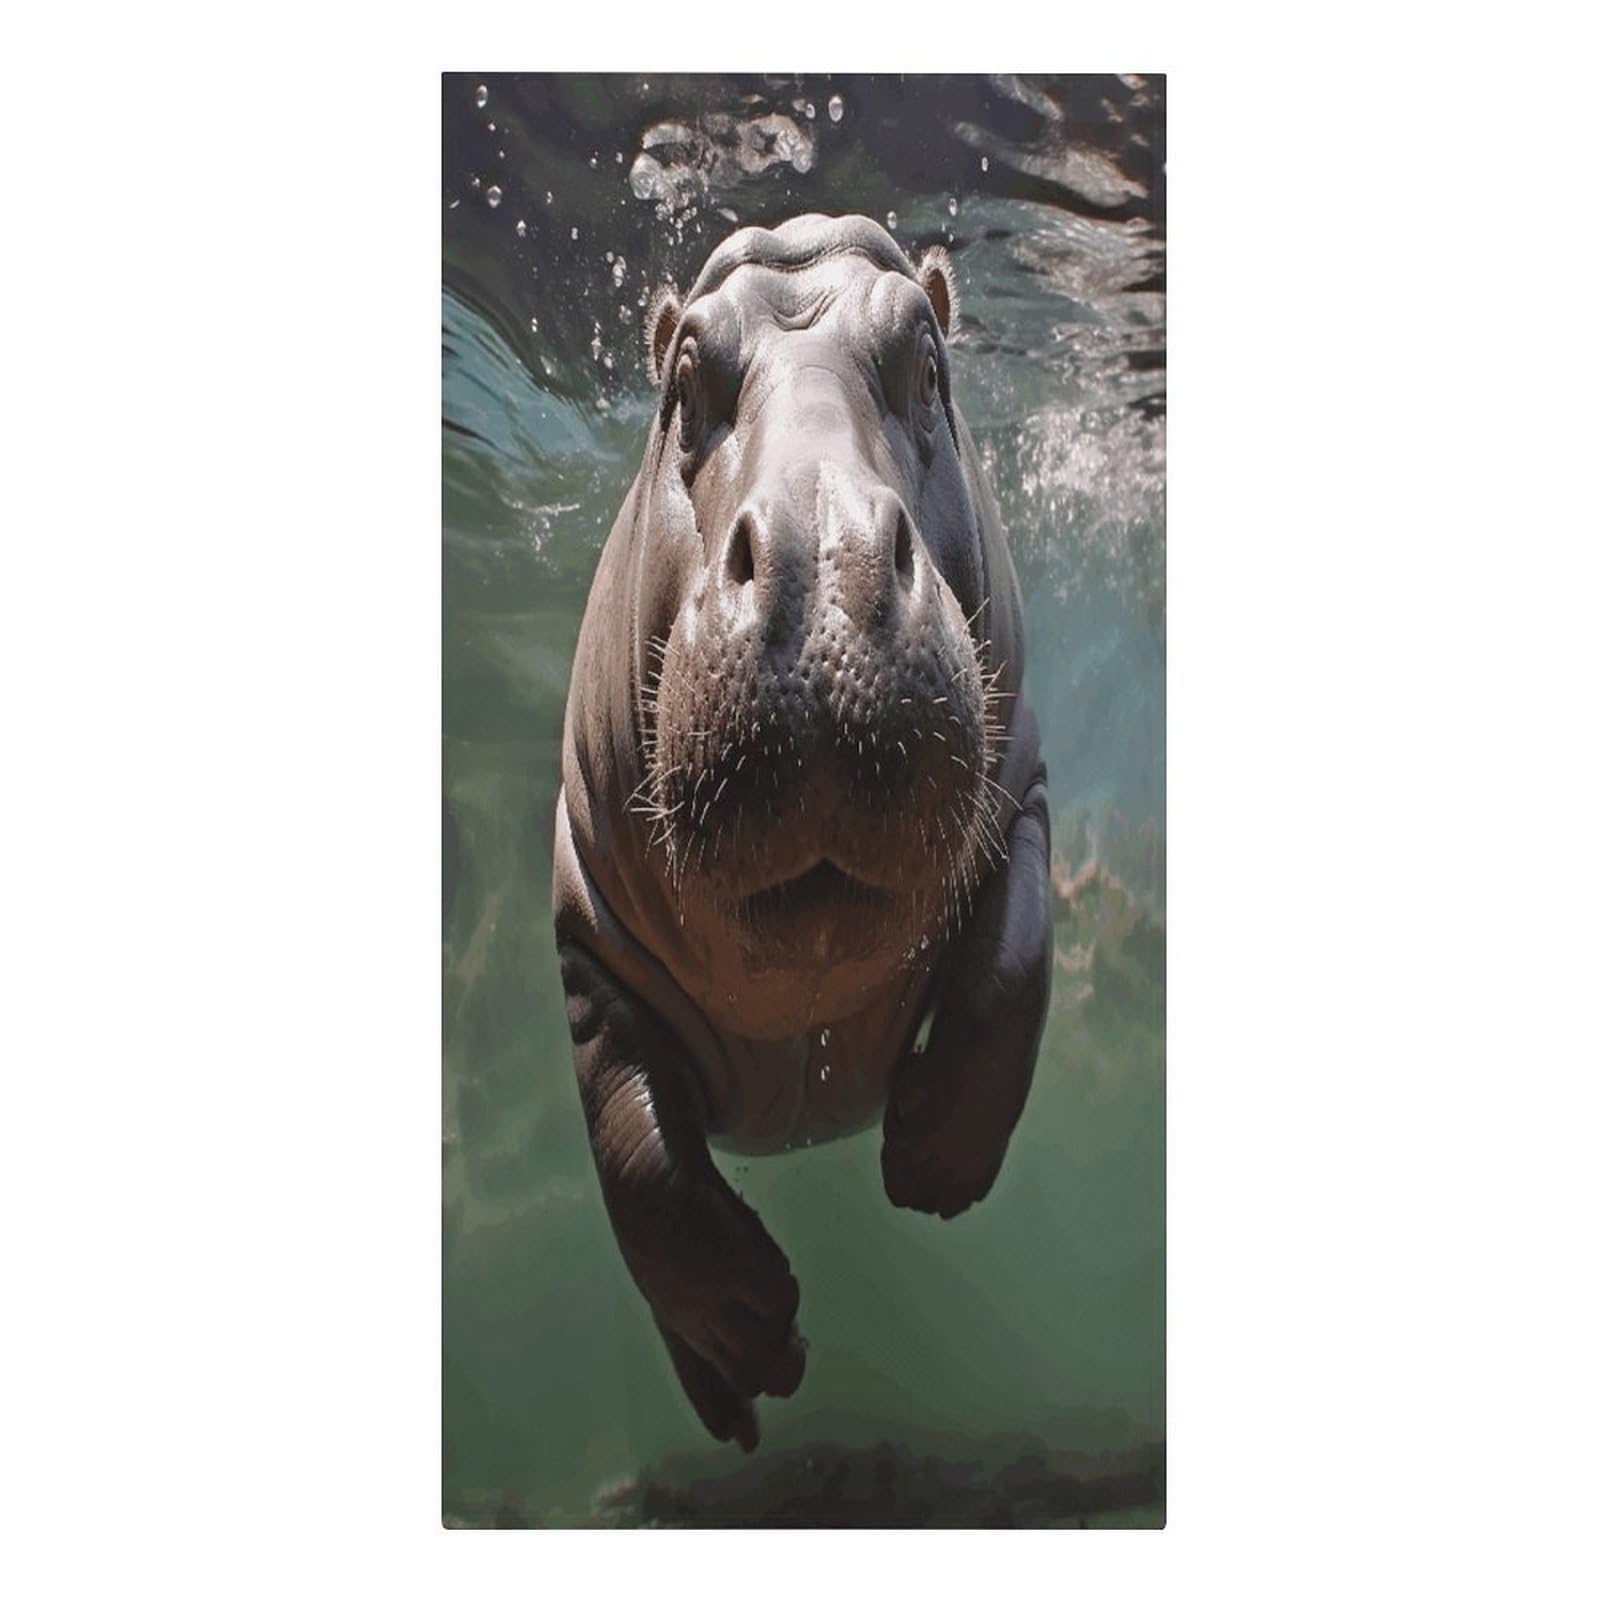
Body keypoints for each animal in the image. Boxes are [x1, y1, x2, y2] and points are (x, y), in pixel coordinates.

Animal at [553, 214, 1051, 1450]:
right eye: (682, 384)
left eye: (930, 366)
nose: (820, 559)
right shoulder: (585, 925)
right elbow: (635, 1151)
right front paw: (755, 1330)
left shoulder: (1020, 790)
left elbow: (1012, 963)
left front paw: (931, 1166)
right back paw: (732, 1407)